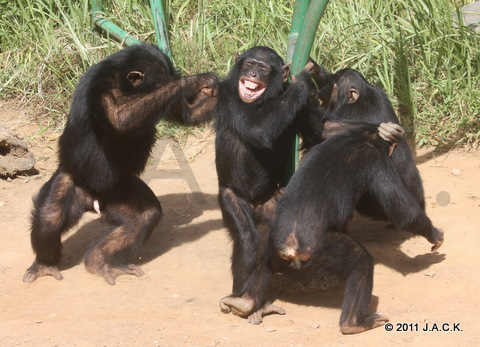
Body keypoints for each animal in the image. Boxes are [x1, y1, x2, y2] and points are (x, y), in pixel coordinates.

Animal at [22, 44, 218, 286]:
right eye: (162, 84)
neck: (126, 85)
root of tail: (92, 201)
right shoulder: (101, 83)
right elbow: (118, 115)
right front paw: (194, 81)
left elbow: (187, 113)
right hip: (72, 177)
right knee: (49, 218)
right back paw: (45, 264)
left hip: (119, 189)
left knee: (142, 218)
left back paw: (99, 261)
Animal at [219, 121, 444, 334]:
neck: (361, 137)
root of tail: (289, 247)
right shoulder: (376, 162)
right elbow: (401, 208)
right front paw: (435, 234)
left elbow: (323, 128)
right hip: (321, 249)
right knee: (362, 262)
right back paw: (354, 324)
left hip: (275, 248)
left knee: (265, 261)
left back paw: (244, 302)